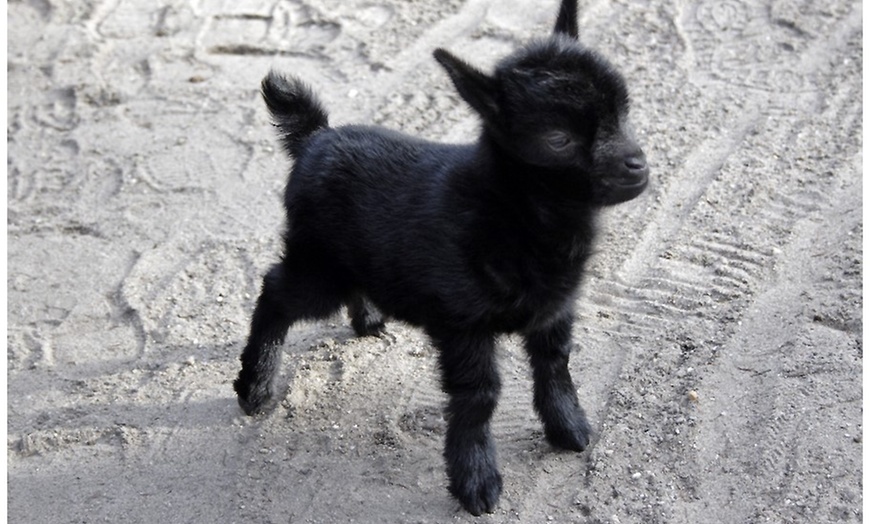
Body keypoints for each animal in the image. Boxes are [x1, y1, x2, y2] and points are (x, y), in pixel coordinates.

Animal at [235, 0, 652, 516]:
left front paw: (568, 428)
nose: (638, 166)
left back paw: (368, 318)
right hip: (319, 266)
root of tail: (315, 138)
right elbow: (479, 397)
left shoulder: (554, 311)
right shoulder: (463, 324)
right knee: (274, 293)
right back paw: (254, 386)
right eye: (559, 139)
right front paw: (476, 479)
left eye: (622, 110)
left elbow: (555, 365)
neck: (511, 209)